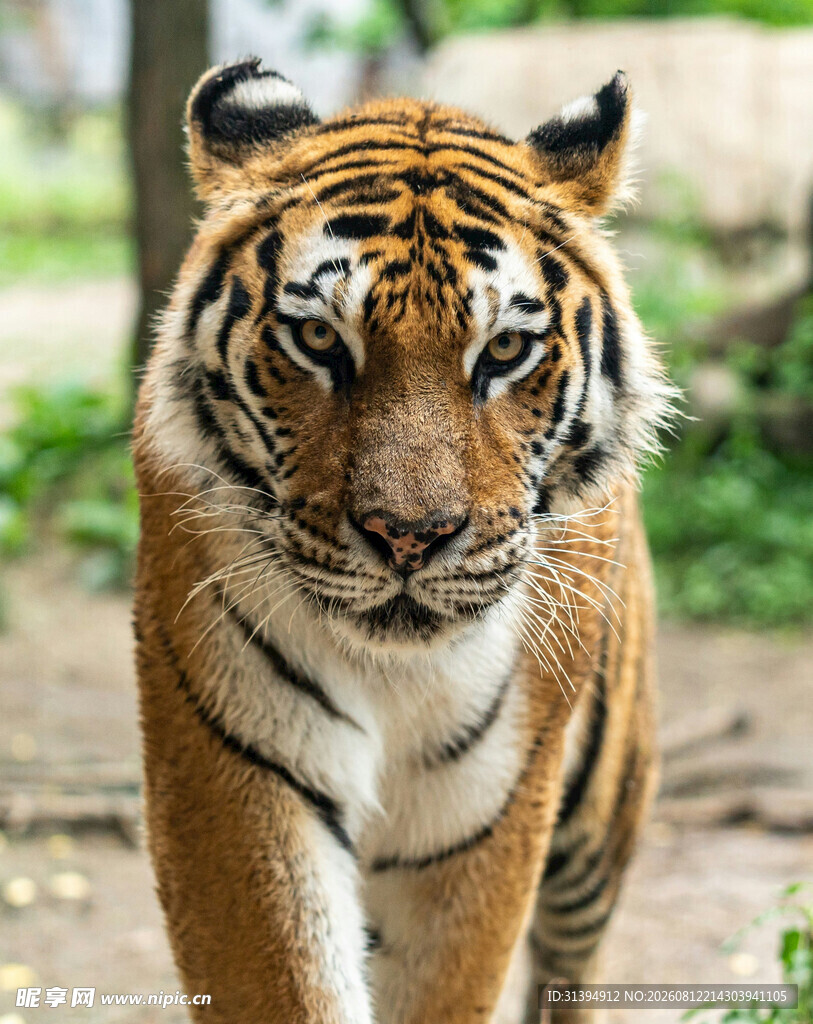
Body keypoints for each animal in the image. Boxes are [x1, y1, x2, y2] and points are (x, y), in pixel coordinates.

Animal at [132, 58, 675, 1024]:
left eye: (503, 350)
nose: (409, 537)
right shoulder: (237, 767)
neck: (394, 673)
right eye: (317, 337)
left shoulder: (484, 809)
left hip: (600, 812)